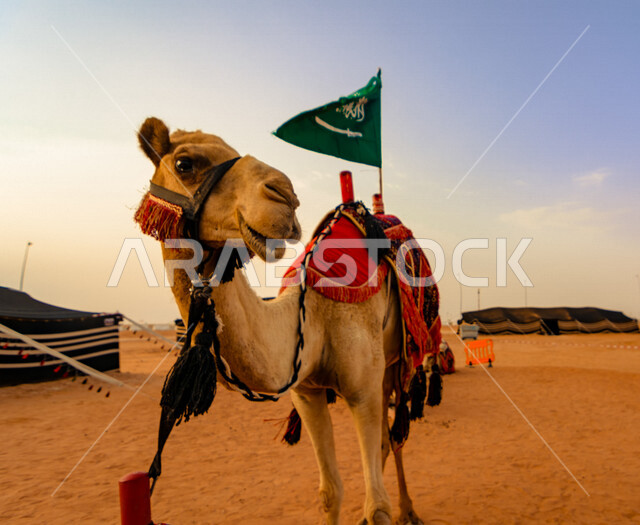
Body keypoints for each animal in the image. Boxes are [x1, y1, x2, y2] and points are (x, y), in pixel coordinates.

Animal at [135, 117, 434, 525]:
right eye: (184, 164)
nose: (286, 196)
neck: (312, 320)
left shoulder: (363, 390)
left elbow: (378, 508)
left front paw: (388, 510)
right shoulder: (306, 392)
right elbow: (330, 492)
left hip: (398, 362)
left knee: (396, 434)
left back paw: (409, 509)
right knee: (389, 440)